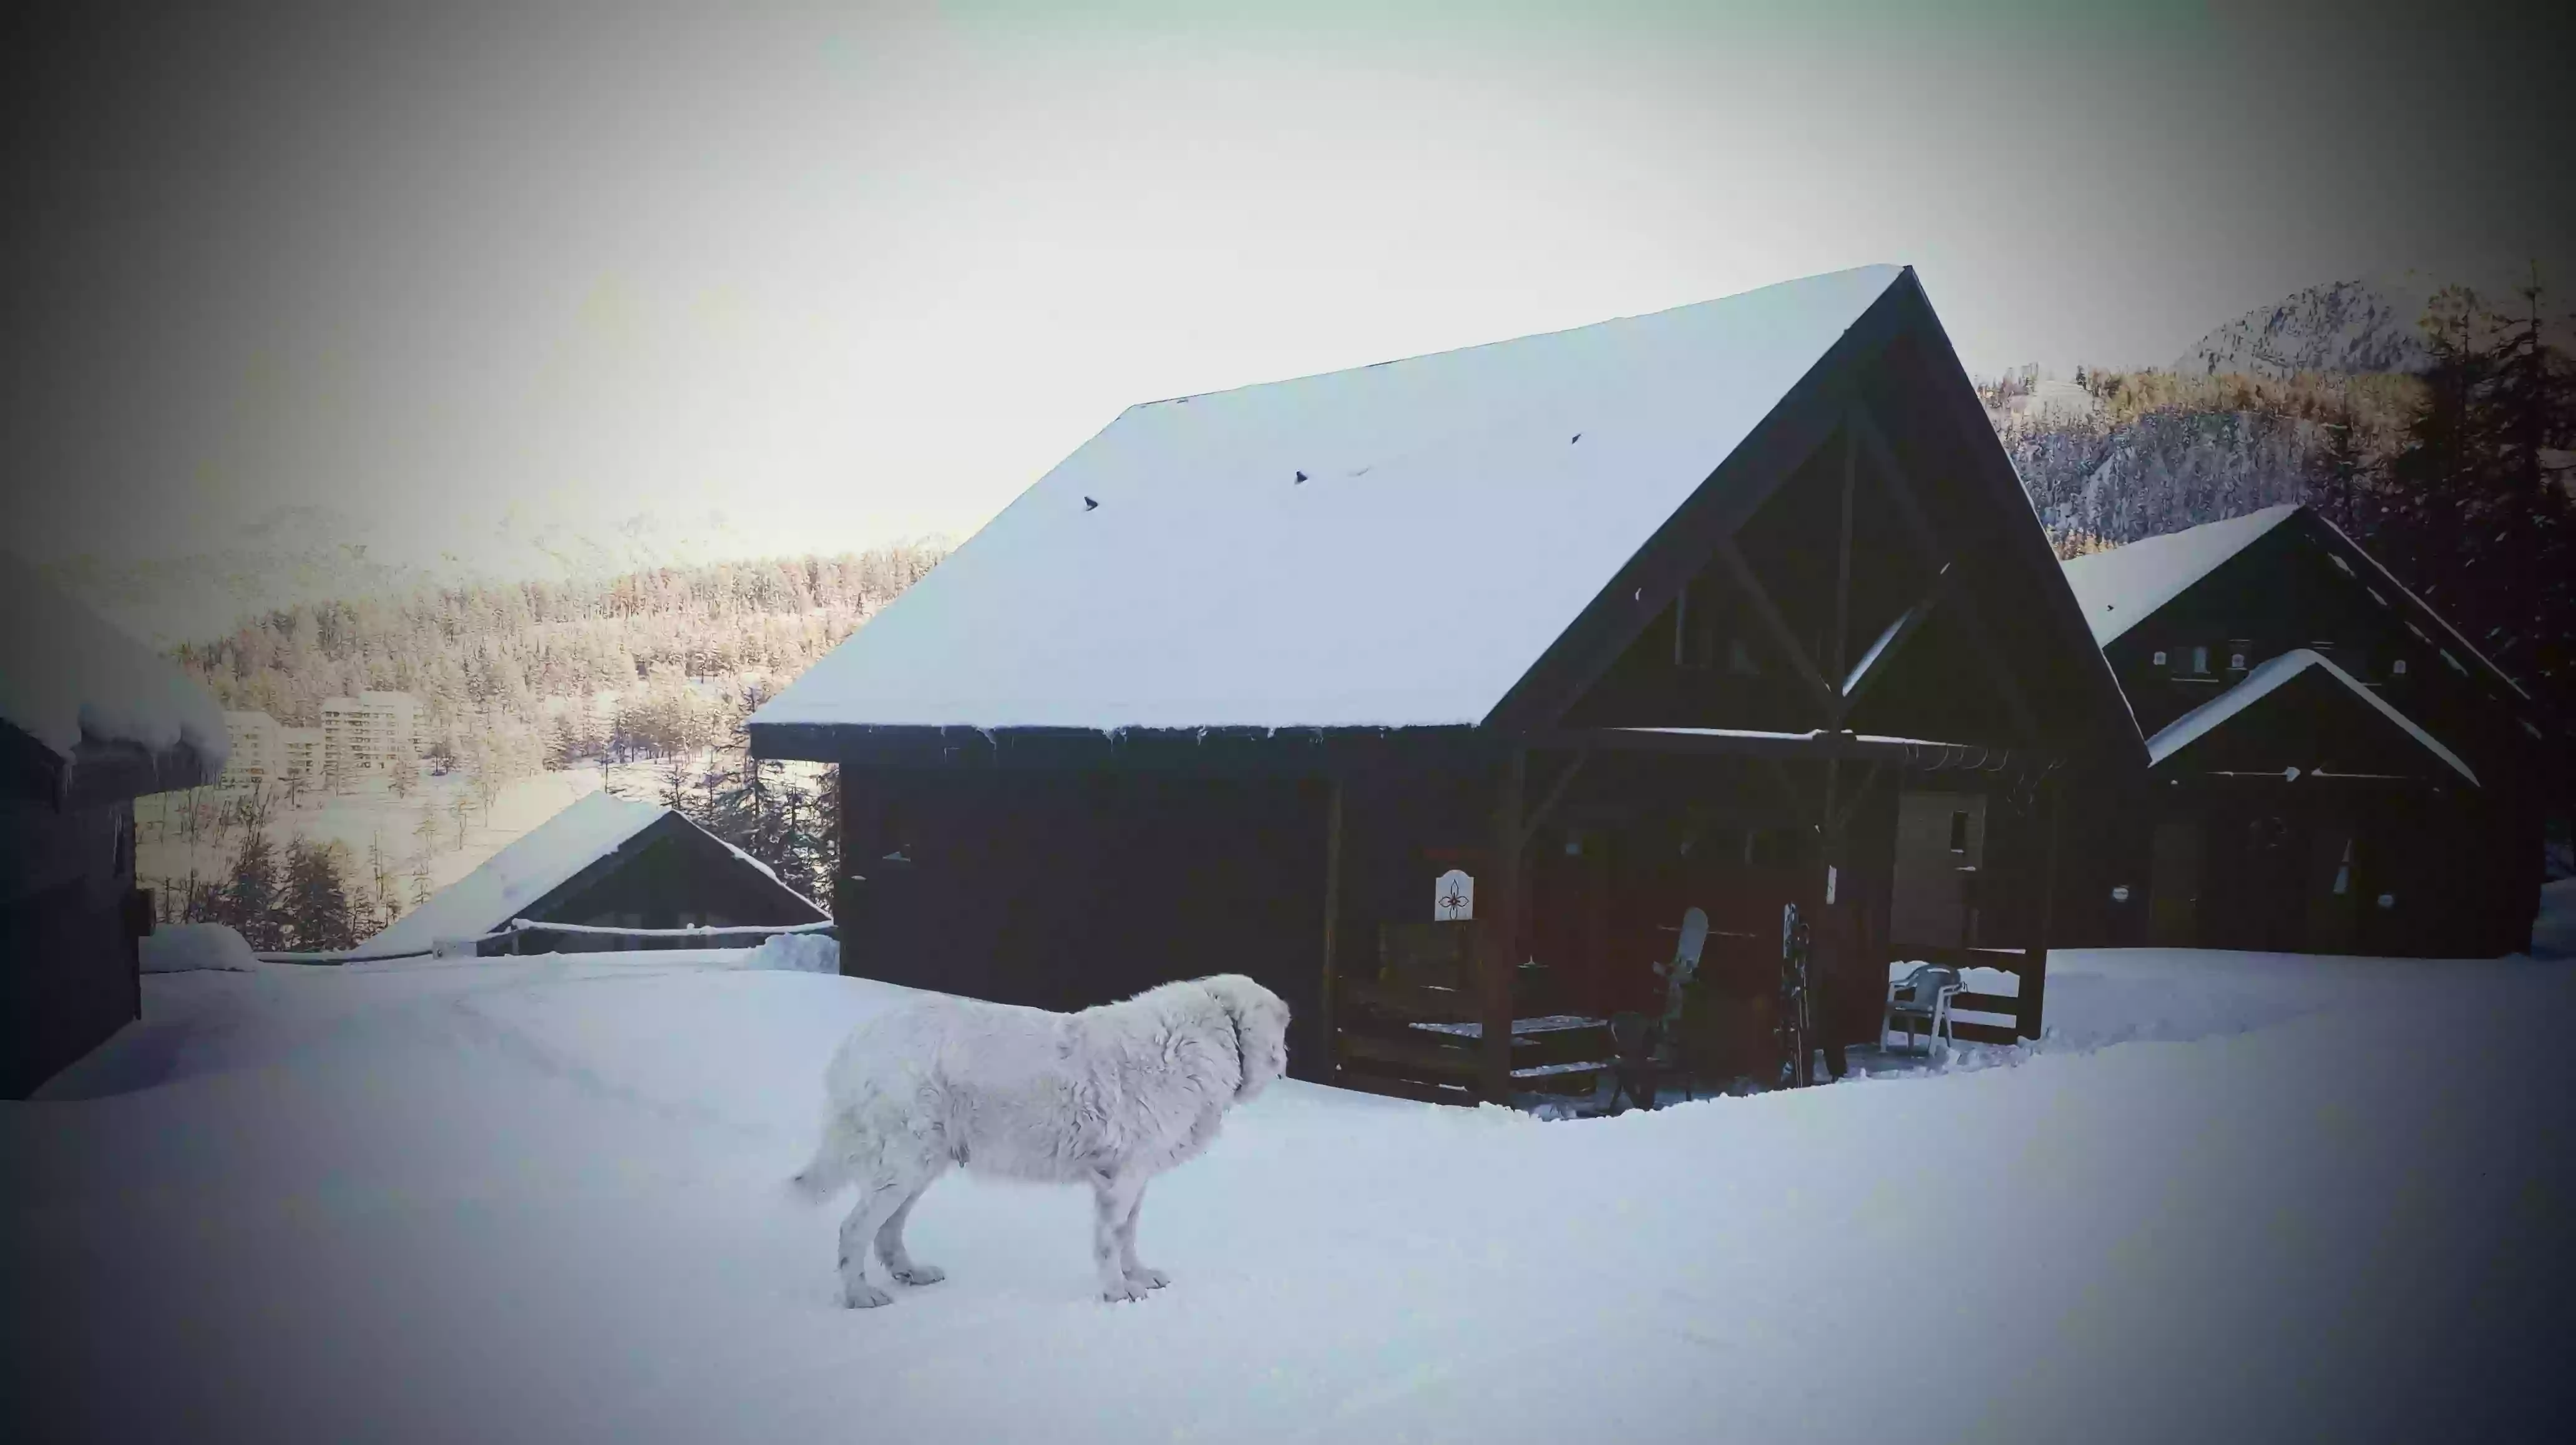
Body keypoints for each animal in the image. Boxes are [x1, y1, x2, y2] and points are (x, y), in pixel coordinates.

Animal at [788, 973, 1288, 1303]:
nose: (1285, 1060)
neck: (1217, 1027)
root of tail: (856, 1042)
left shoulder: (1136, 1176)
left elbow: (1128, 1235)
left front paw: (1139, 1276)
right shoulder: (1120, 1179)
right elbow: (1110, 1239)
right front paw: (1117, 1291)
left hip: (922, 1166)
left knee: (888, 1230)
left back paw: (912, 1273)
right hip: (904, 1165)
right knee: (854, 1229)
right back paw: (860, 1295)